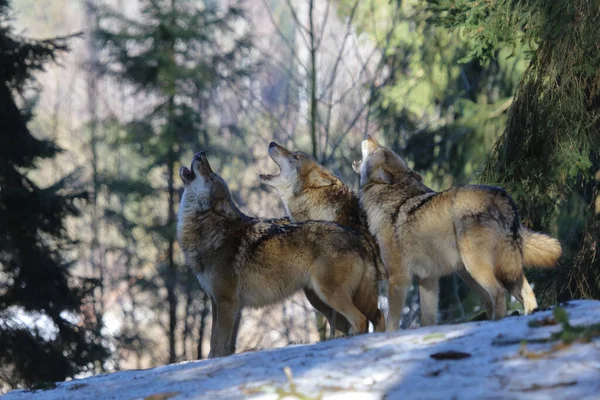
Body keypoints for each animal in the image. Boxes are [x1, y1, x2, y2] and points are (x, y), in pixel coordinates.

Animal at [354, 137, 560, 332]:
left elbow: (392, 322)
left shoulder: (398, 278)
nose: (368, 135)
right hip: (492, 270)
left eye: (375, 150)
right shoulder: (428, 280)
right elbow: (427, 320)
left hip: (475, 268)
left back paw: (495, 323)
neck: (390, 199)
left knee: (498, 292)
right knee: (525, 294)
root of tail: (502, 195)